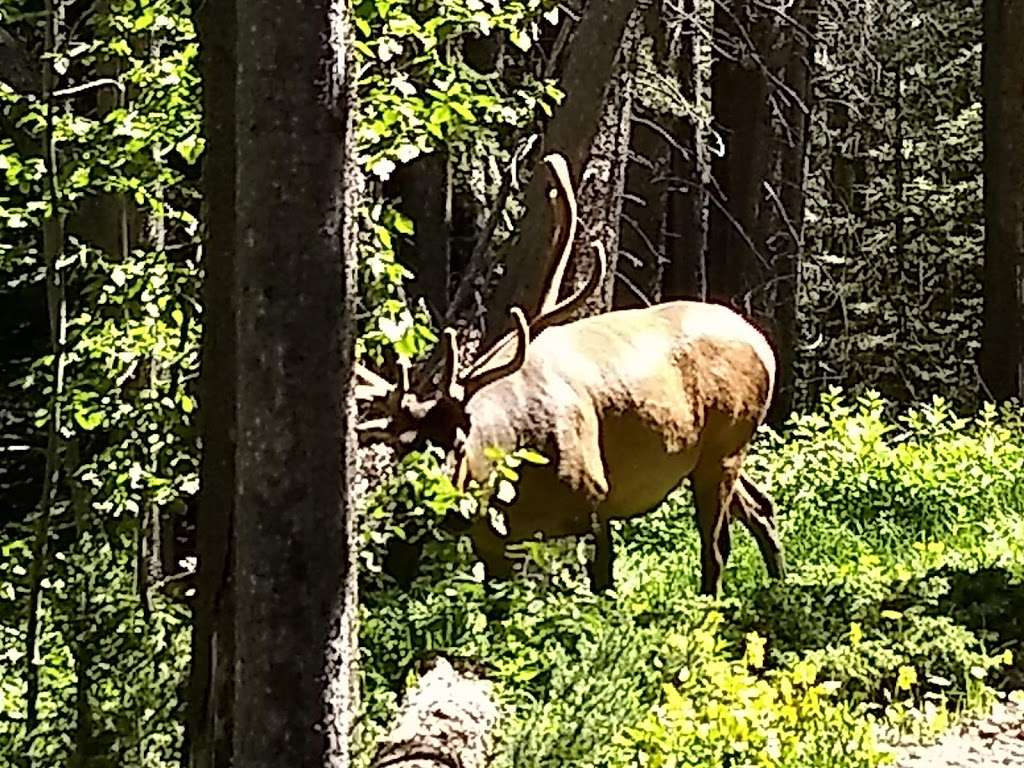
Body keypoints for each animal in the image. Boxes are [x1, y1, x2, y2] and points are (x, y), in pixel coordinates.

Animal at [356, 151, 786, 593]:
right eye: (401, 448)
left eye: (460, 441)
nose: (430, 503)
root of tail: (763, 344)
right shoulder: (492, 542)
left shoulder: (596, 496)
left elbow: (603, 582)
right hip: (718, 455)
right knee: (762, 507)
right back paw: (780, 589)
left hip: (725, 445)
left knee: (716, 546)